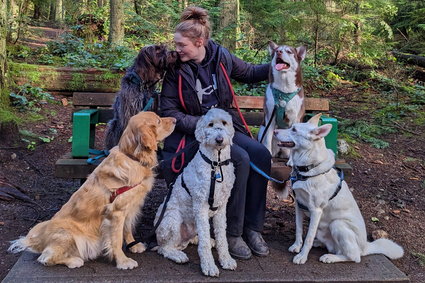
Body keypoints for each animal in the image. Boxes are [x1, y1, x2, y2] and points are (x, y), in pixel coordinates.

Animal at [155, 108, 237, 278]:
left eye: (224, 123)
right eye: (210, 124)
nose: (219, 139)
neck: (216, 163)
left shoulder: (222, 206)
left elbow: (222, 236)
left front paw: (226, 260)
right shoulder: (201, 206)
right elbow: (204, 242)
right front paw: (209, 266)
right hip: (172, 219)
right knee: (164, 248)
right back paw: (177, 255)